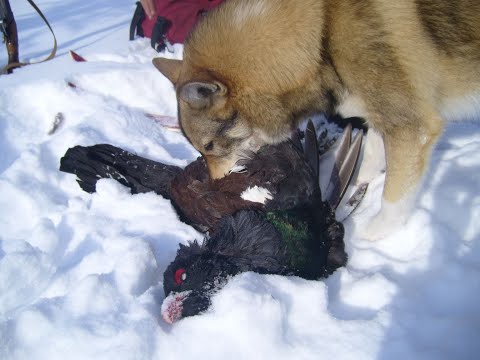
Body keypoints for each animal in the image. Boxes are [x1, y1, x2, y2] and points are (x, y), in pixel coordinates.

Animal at [153, 0, 480, 239]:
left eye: (209, 146)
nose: (213, 184)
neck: (322, 37)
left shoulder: (411, 127)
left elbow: (394, 196)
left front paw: (374, 233)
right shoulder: (383, 113)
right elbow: (372, 153)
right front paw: (352, 182)